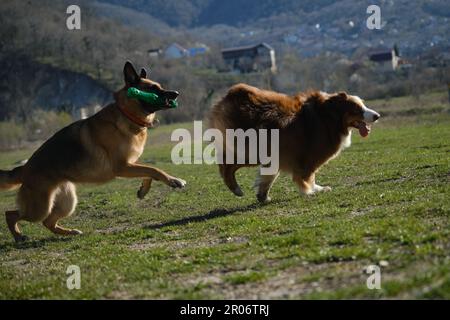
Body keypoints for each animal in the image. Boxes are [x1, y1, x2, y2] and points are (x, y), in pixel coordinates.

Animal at [0, 60, 186, 242]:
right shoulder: (122, 167)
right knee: (11, 214)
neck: (126, 114)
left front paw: (143, 190)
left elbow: (149, 171)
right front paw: (173, 180)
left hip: (67, 202)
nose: (176, 93)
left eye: (160, 86)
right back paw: (19, 236)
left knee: (48, 222)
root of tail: (24, 168)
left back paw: (70, 233)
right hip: (40, 207)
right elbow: (153, 169)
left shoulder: (130, 164)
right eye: (153, 88)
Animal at [209, 82, 378, 202]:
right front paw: (311, 191)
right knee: (225, 166)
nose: (377, 116)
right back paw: (236, 189)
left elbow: (268, 177)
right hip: (249, 150)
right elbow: (308, 176)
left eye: (363, 105)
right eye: (357, 109)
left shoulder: (279, 156)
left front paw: (263, 196)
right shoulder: (309, 157)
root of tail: (230, 96)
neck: (329, 117)